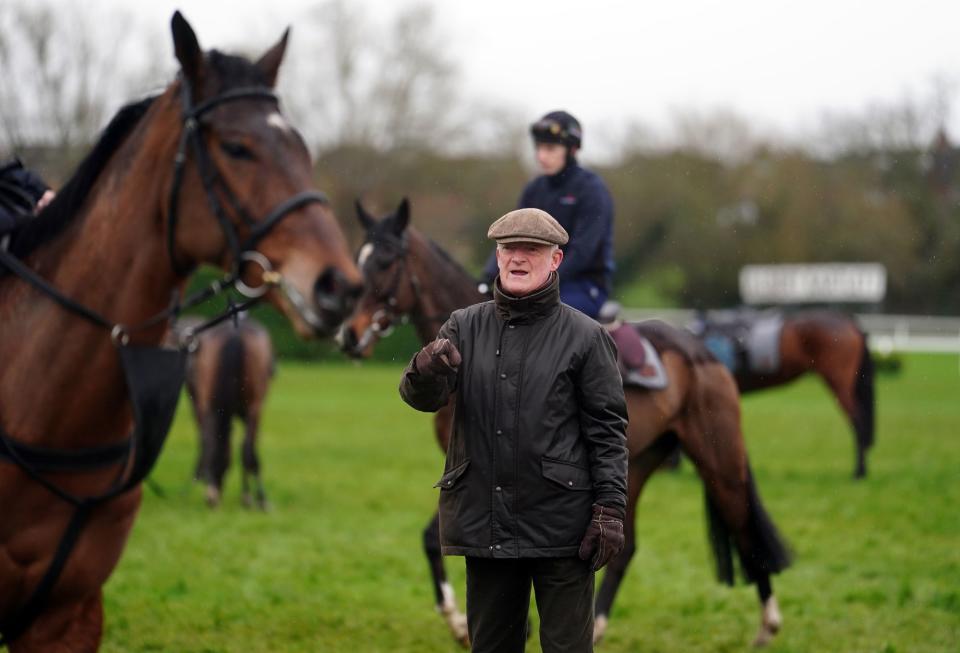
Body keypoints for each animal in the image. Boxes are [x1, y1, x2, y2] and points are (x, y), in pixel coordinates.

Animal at [173, 316, 274, 510]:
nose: (213, 497)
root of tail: (235, 335)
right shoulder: (252, 410)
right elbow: (245, 449)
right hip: (252, 408)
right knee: (246, 448)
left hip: (208, 404)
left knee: (213, 441)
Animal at [342, 201, 792, 648]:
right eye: (359, 258)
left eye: (385, 260)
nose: (349, 334)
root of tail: (702, 351)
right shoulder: (462, 469)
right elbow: (433, 539)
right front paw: (464, 621)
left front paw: (468, 623)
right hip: (637, 464)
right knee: (625, 547)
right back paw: (599, 626)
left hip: (718, 460)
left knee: (745, 527)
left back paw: (768, 624)